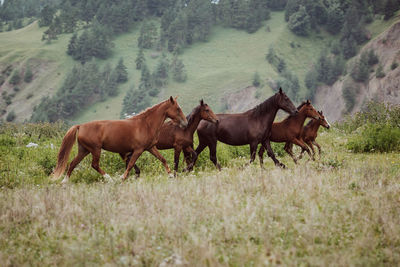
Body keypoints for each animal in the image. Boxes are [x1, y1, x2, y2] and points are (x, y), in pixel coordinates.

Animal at [52, 97, 188, 184]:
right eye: (177, 108)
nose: (185, 123)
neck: (146, 124)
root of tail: (80, 126)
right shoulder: (138, 150)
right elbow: (131, 164)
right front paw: (122, 178)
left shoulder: (150, 148)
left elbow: (162, 159)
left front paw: (171, 175)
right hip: (95, 149)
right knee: (94, 165)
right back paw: (109, 179)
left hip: (84, 150)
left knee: (73, 163)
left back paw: (64, 182)